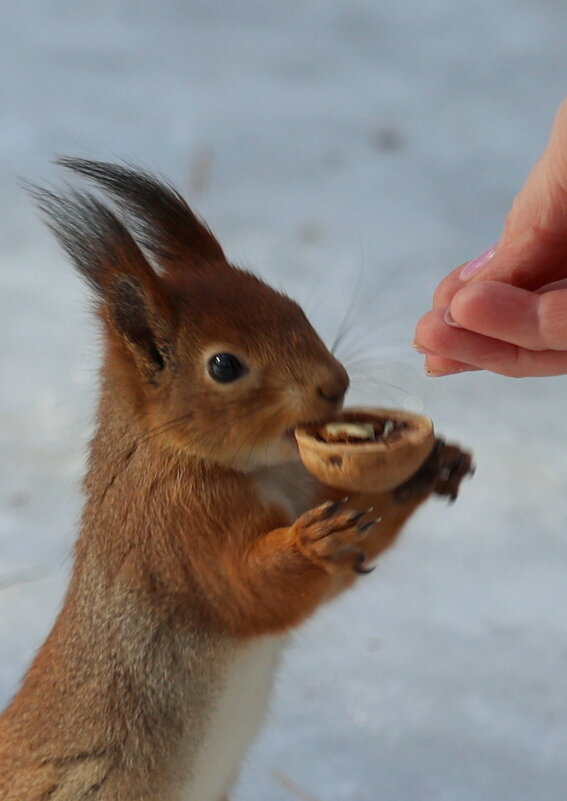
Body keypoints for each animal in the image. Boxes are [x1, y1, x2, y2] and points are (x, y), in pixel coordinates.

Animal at [0, 159, 472, 800]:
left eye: (291, 305)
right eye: (224, 366)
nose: (335, 383)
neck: (259, 469)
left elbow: (351, 547)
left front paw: (430, 465)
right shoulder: (176, 533)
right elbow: (249, 591)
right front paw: (310, 542)